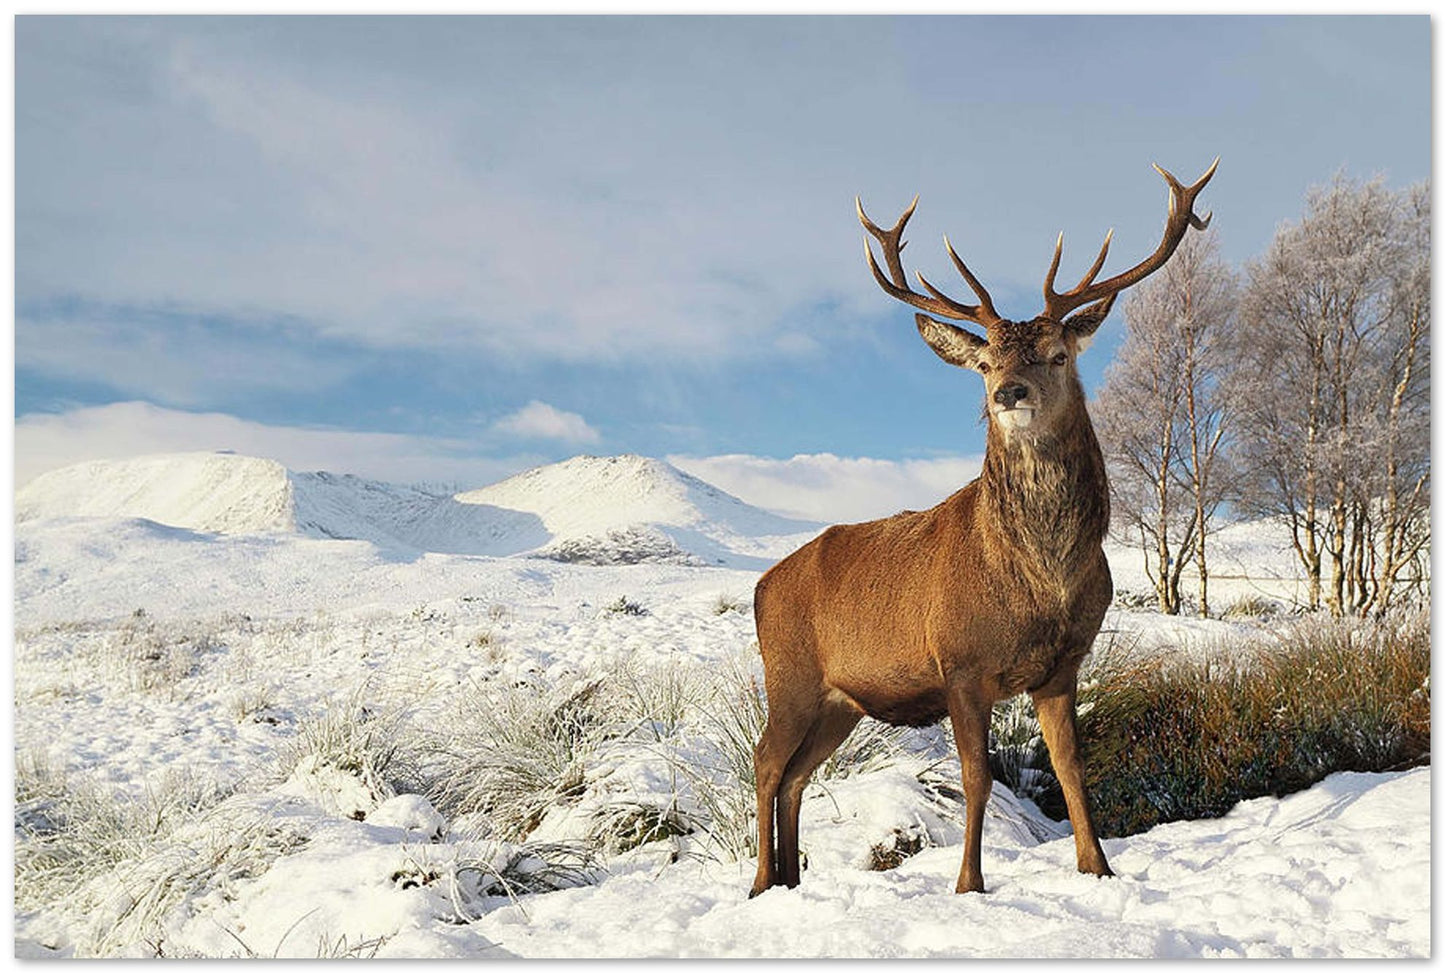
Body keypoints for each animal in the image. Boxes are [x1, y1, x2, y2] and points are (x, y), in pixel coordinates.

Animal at [749, 160, 1218, 897]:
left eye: (1057, 354)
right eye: (986, 362)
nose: (1008, 393)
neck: (1042, 581)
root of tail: (761, 586)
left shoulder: (1062, 666)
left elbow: (1071, 769)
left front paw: (1098, 867)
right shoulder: (960, 664)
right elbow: (976, 778)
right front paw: (969, 883)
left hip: (840, 700)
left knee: (796, 773)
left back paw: (793, 881)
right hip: (788, 673)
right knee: (766, 762)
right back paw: (761, 882)